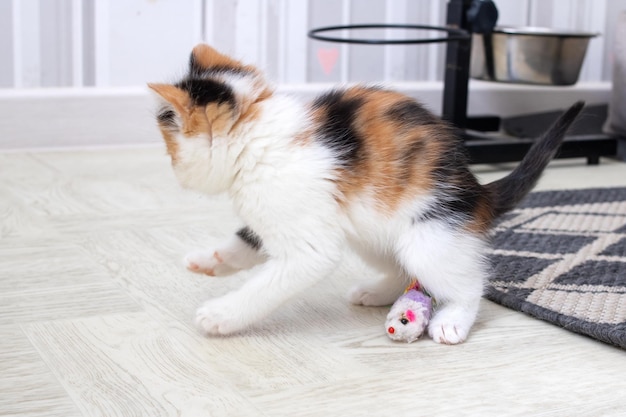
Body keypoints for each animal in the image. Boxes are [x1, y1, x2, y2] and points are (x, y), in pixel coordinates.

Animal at [149, 44, 584, 342]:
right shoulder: (277, 213)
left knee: (465, 283)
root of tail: (477, 191)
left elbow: (268, 283)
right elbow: (246, 240)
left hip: (431, 235)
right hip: (369, 230)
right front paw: (209, 260)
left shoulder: (307, 239)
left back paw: (452, 320)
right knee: (401, 268)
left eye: (171, 148)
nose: (172, 170)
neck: (257, 139)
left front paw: (221, 315)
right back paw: (376, 292)